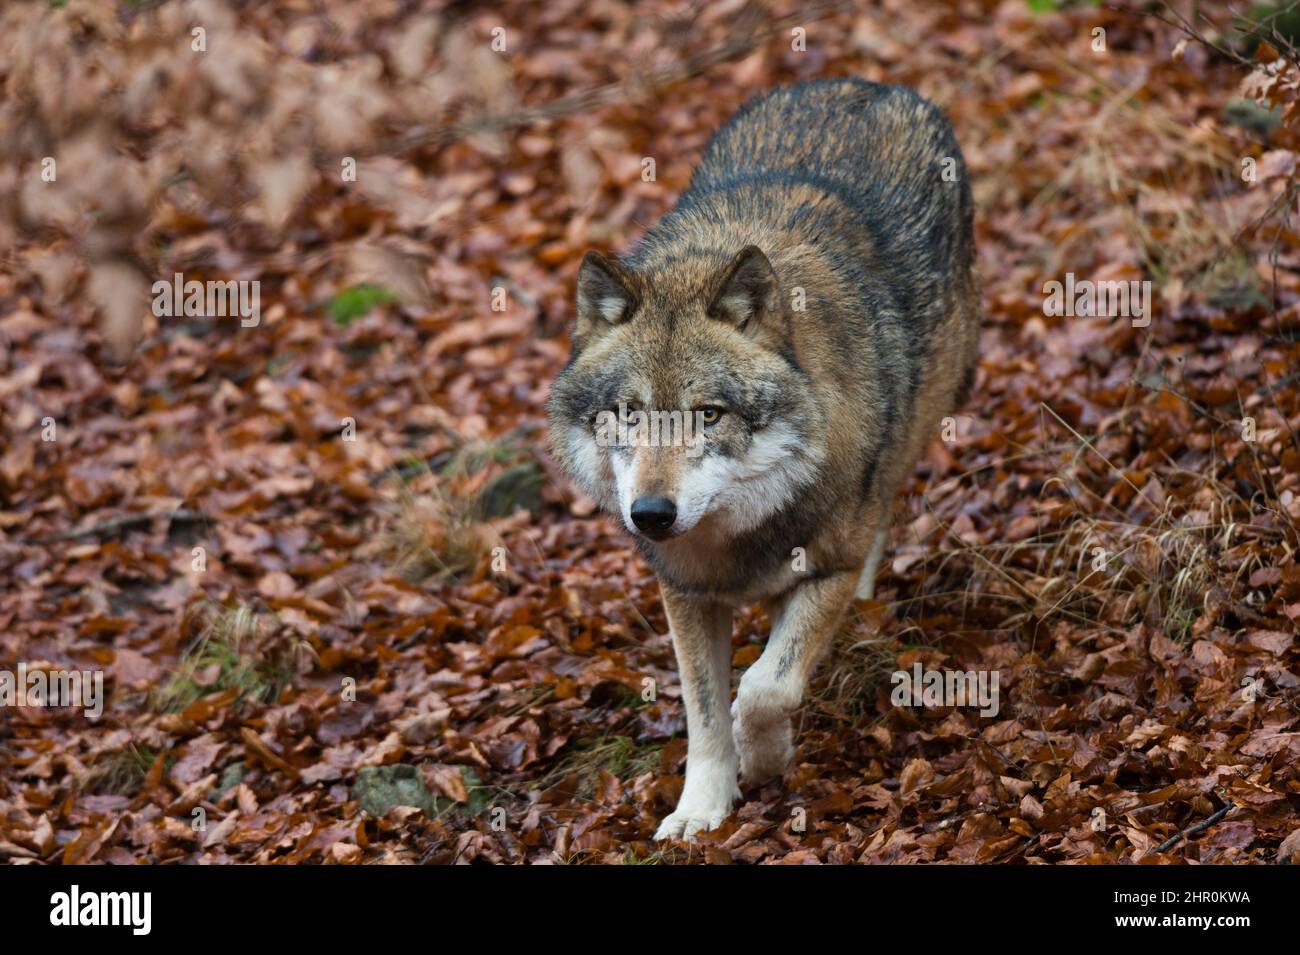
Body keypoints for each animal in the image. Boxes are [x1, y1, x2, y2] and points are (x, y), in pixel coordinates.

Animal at [547, 78, 980, 840]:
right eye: (629, 413)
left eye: (708, 414)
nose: (651, 515)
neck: (737, 535)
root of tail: (862, 83)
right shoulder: (685, 593)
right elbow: (704, 713)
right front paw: (702, 808)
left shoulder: (826, 568)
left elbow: (763, 688)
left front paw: (769, 760)